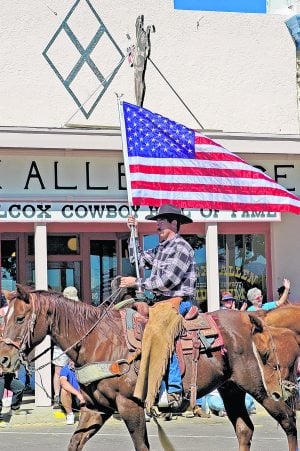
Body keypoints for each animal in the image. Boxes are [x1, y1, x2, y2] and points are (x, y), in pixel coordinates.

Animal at [0, 286, 298, 451]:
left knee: (287, 420)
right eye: (5, 317)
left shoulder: (129, 405)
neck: (99, 341)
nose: (4, 359)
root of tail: (253, 318)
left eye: (20, 318)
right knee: (245, 430)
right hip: (232, 389)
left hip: (261, 387)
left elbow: (142, 446)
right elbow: (75, 443)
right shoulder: (96, 408)